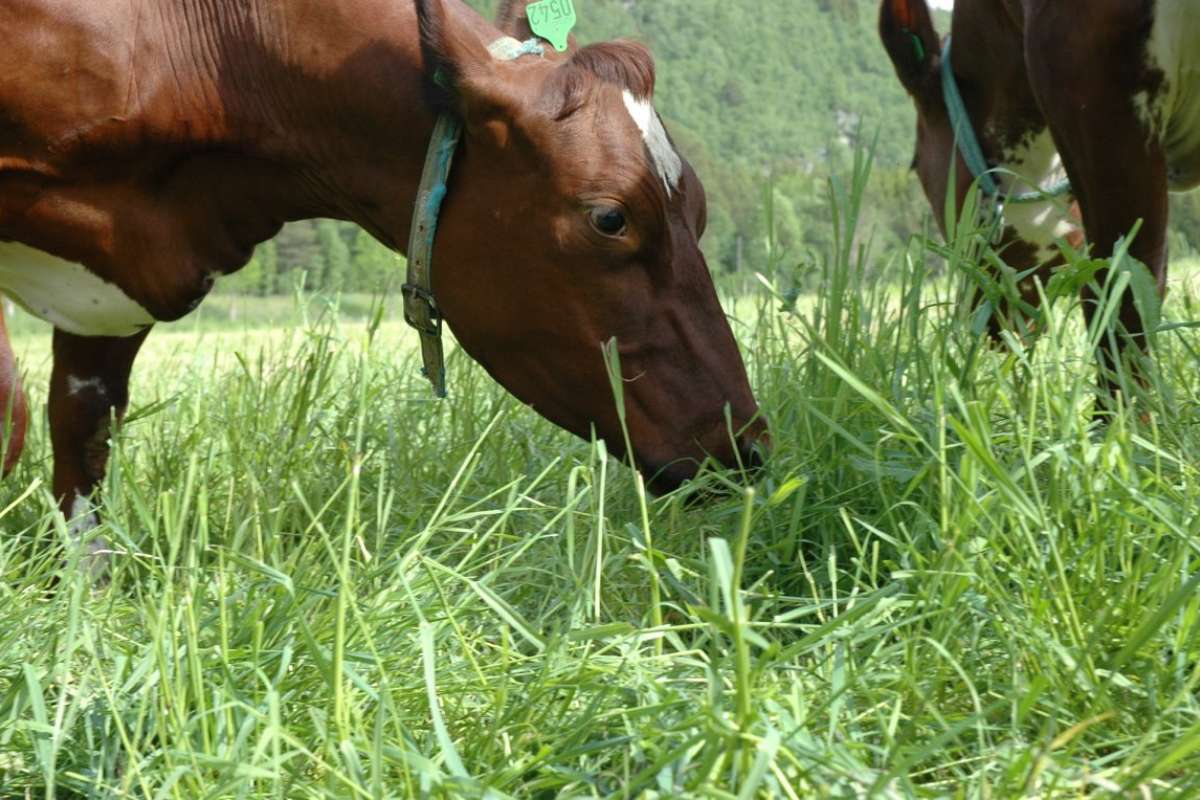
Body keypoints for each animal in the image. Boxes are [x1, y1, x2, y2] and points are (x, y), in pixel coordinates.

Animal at [0, 0, 768, 566]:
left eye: (700, 207)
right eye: (611, 217)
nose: (748, 447)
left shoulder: (114, 295)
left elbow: (84, 440)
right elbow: (16, 415)